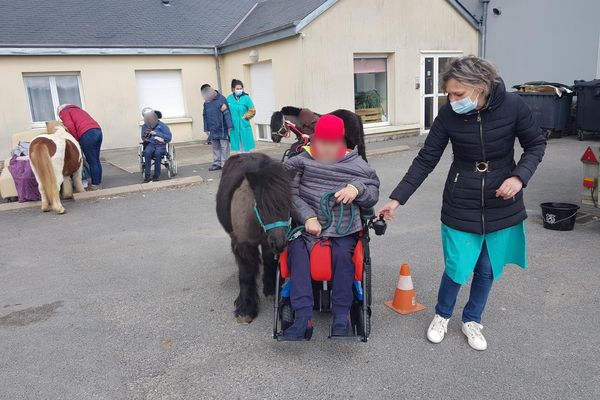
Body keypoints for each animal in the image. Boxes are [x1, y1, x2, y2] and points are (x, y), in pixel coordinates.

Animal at [217, 152, 294, 324]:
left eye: (289, 203)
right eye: (260, 205)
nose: (280, 244)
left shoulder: (267, 244)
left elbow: (269, 263)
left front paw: (271, 290)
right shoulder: (243, 244)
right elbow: (246, 274)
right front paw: (246, 308)